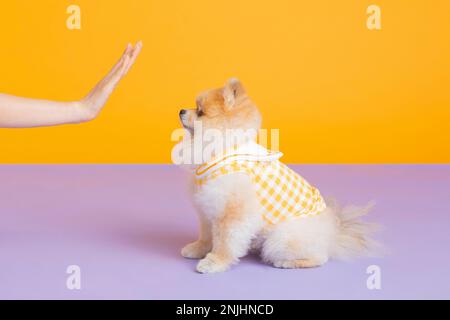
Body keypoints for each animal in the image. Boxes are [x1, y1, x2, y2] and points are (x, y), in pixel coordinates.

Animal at [178, 77, 378, 272]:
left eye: (200, 112)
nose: (181, 110)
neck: (220, 149)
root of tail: (332, 236)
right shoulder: (208, 206)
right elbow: (207, 234)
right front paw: (198, 249)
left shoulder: (232, 211)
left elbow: (224, 241)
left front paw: (215, 262)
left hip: (283, 237)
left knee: (319, 258)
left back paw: (289, 263)